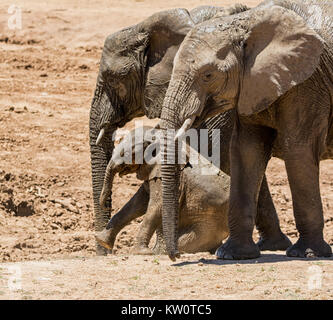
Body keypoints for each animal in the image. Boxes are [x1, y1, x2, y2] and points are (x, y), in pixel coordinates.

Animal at [94, 126, 230, 254]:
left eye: (125, 154)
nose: (106, 206)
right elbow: (137, 203)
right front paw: (102, 240)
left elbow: (156, 206)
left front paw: (143, 252)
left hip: (208, 224)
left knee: (185, 243)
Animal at [158, 0, 332, 260]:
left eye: (208, 75)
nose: (175, 255)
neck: (247, 22)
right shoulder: (253, 85)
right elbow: (245, 151)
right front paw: (232, 254)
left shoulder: (308, 83)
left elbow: (298, 151)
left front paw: (307, 253)